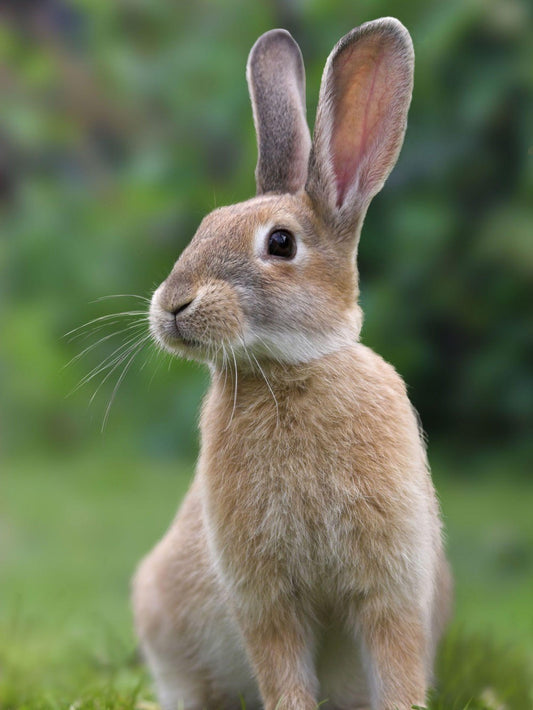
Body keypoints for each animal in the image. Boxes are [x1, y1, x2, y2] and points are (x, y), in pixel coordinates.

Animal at [132, 17, 452, 710]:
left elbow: (397, 663)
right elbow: (282, 671)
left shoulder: (391, 586)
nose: (172, 306)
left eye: (281, 243)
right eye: (204, 225)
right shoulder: (266, 600)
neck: (289, 372)